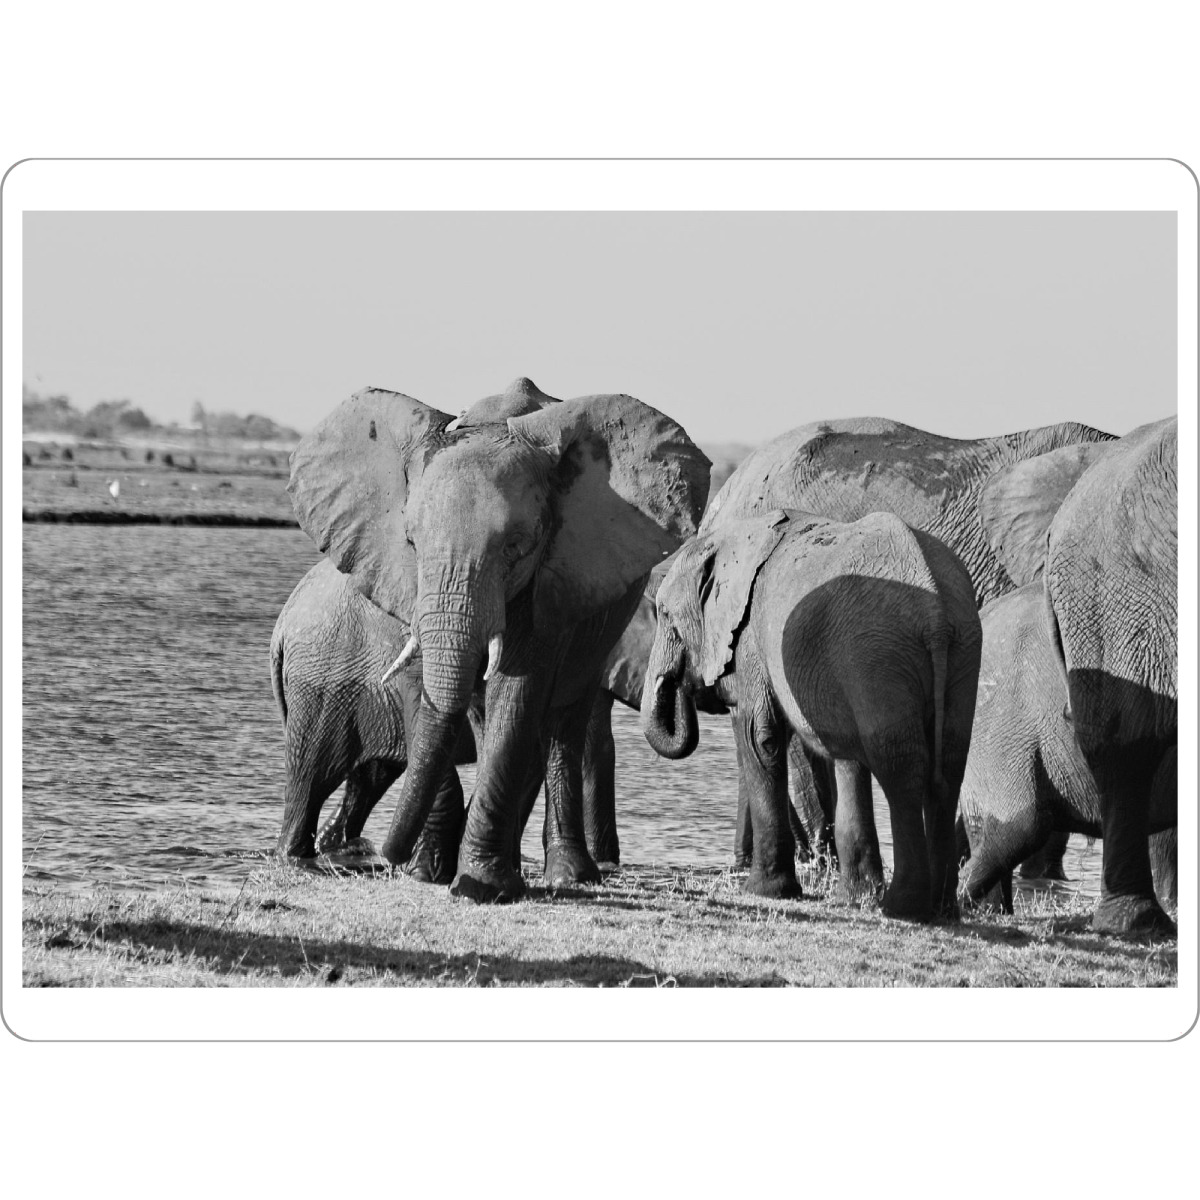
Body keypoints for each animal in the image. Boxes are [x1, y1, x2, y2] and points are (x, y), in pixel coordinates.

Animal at [286, 376, 710, 901]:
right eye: (411, 542)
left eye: (515, 547)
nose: (386, 856)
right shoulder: (401, 577)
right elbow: (428, 687)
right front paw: (433, 874)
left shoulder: (552, 573)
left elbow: (519, 692)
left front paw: (479, 886)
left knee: (564, 721)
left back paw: (569, 876)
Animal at [641, 508, 982, 920]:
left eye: (664, 613)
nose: (676, 683)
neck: (734, 538)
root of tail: (937, 615)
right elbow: (848, 758)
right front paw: (851, 898)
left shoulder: (752, 637)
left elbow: (760, 735)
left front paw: (765, 892)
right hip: (961, 650)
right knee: (947, 766)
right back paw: (942, 909)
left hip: (879, 654)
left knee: (900, 767)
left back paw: (903, 908)